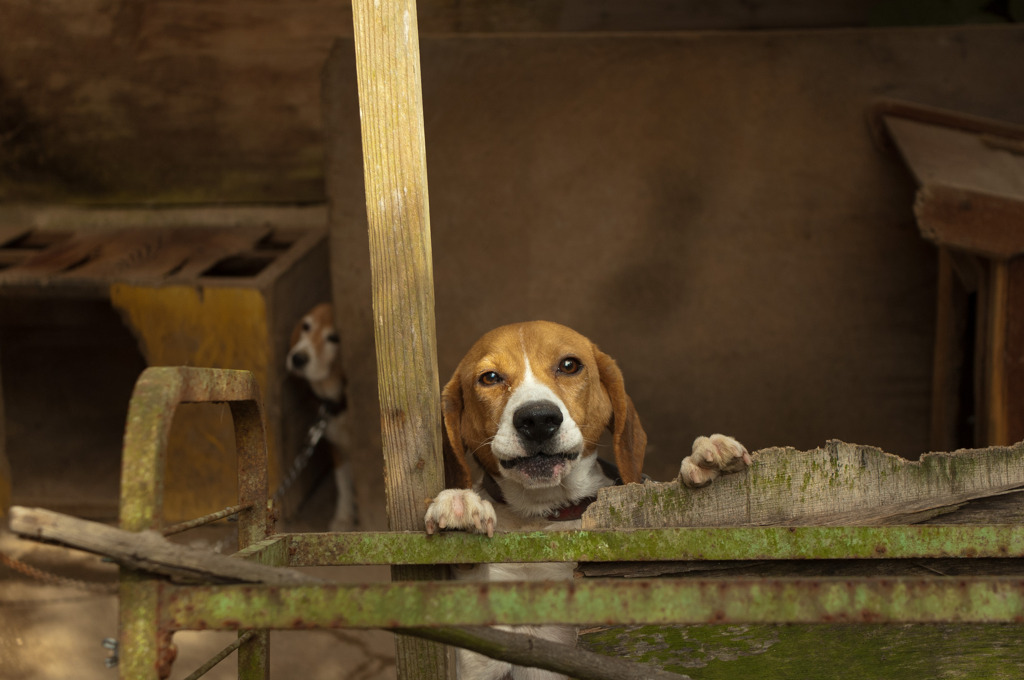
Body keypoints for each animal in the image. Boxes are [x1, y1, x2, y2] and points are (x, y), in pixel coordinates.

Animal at [284, 301, 356, 532]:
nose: (298, 358)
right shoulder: (337, 446)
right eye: (306, 326)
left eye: (334, 338)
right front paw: (343, 517)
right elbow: (342, 482)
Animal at [423, 319, 753, 680]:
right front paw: (460, 503)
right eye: (490, 377)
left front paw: (705, 459)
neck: (544, 514)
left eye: (569, 365)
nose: (538, 419)